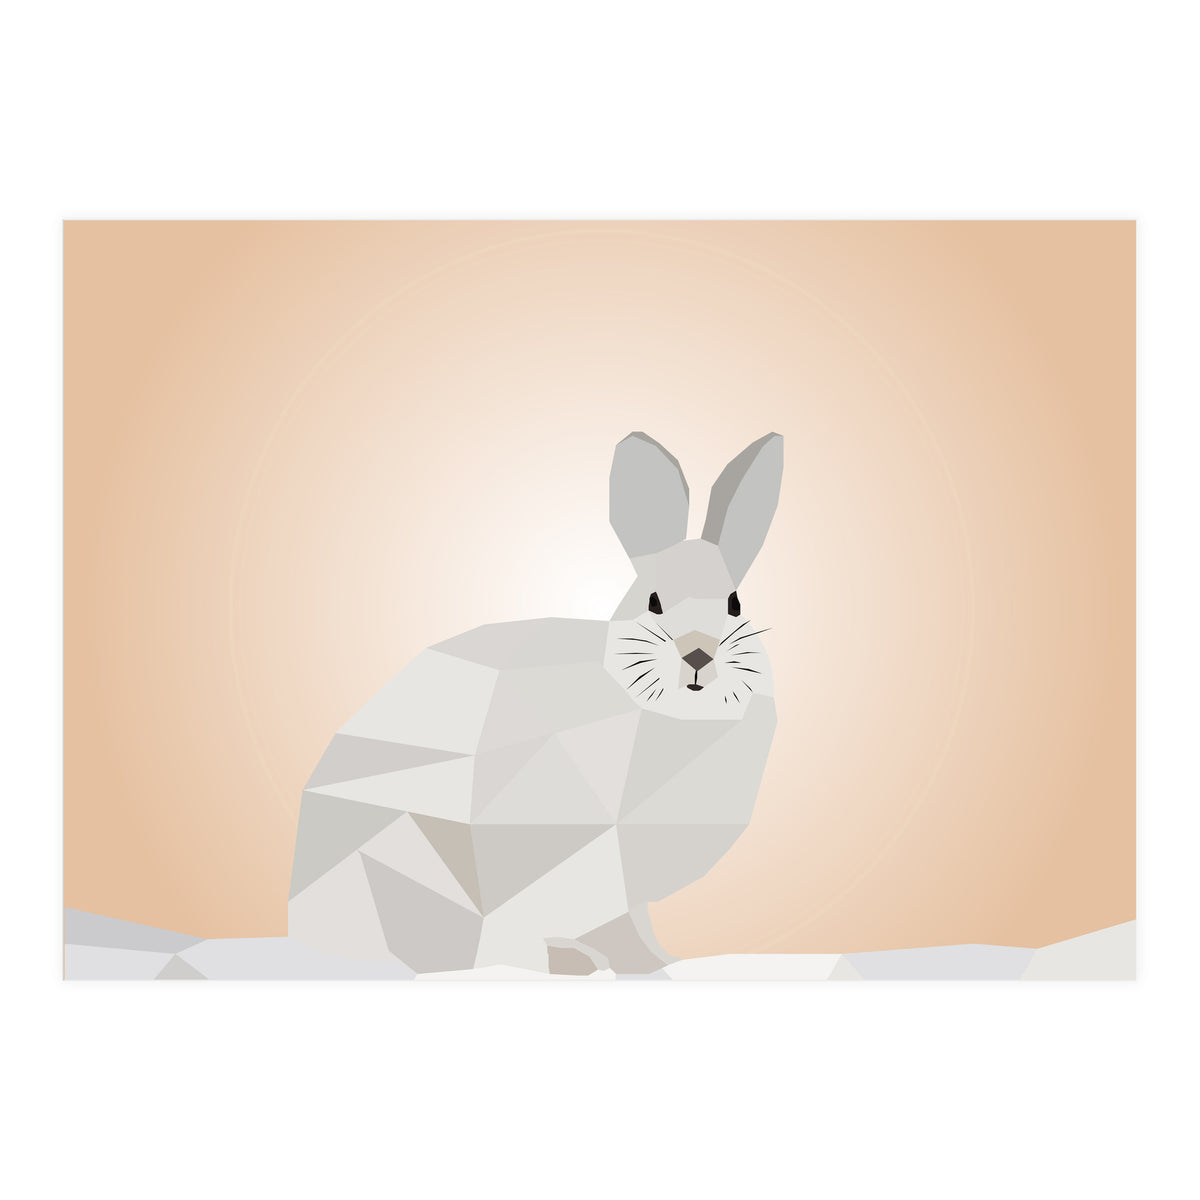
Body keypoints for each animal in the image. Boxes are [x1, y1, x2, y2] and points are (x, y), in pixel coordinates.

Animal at [287, 431, 783, 975]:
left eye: (735, 604)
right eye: (652, 602)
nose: (699, 654)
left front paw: (660, 962)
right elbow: (613, 927)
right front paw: (643, 967)